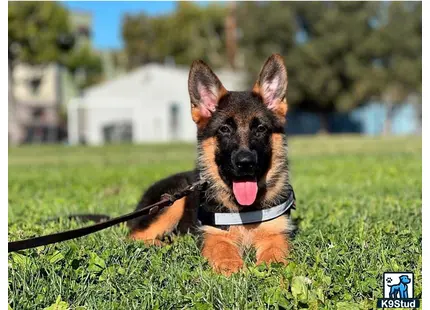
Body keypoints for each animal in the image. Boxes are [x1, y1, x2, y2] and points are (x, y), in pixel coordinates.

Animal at [127, 54, 292, 276]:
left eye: (260, 129)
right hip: (174, 199)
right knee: (133, 237)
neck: (244, 210)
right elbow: (223, 251)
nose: (245, 163)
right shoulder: (214, 235)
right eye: (224, 129)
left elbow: (274, 255)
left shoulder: (276, 233)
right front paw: (234, 270)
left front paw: (271, 271)